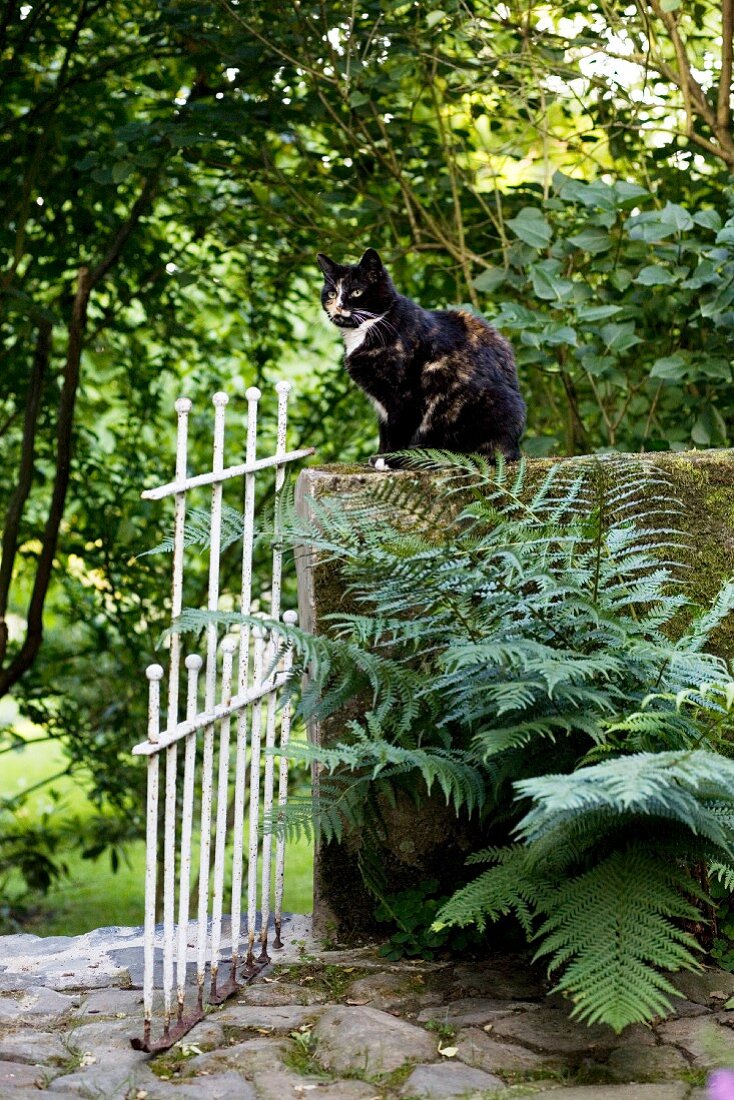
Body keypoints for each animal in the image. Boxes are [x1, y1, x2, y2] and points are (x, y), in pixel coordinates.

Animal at [319, 249, 526, 464]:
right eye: (332, 293)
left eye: (356, 292)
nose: (338, 306)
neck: (370, 328)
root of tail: (515, 447)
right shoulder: (381, 401)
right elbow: (384, 430)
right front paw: (379, 456)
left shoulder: (407, 393)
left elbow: (398, 429)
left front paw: (390, 459)